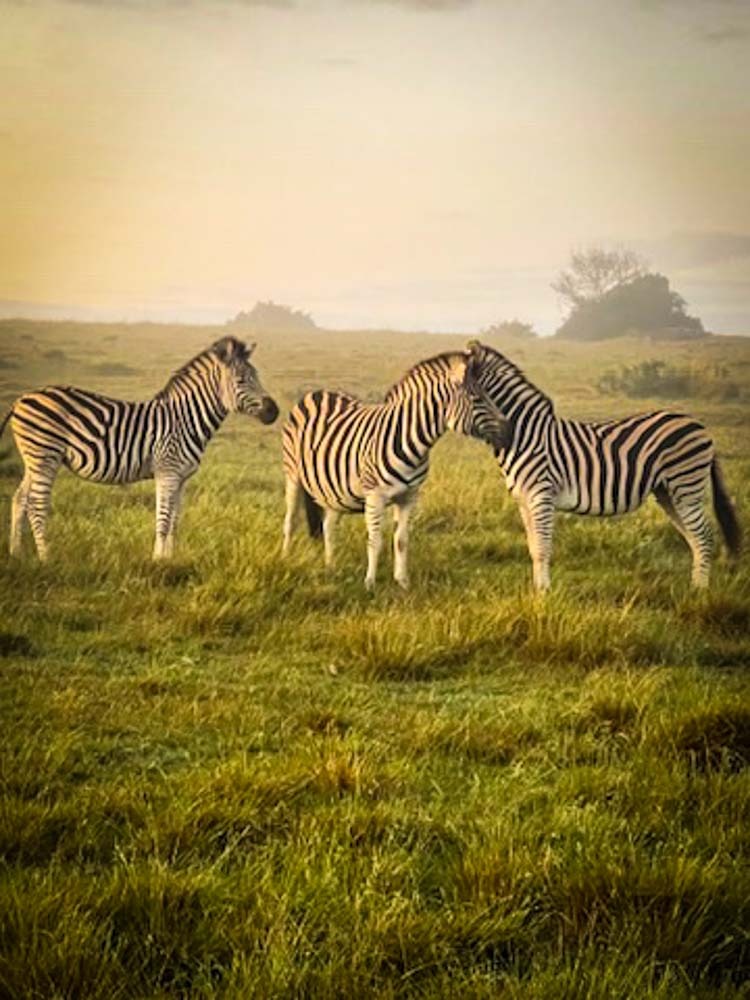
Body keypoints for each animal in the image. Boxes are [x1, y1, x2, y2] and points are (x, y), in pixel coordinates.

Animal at [1, 336, 278, 561]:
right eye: (241, 380)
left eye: (258, 377)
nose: (274, 411)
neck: (185, 419)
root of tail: (21, 399)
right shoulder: (167, 471)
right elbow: (164, 519)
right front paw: (157, 561)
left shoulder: (182, 478)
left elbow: (175, 521)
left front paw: (170, 560)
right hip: (45, 455)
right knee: (36, 504)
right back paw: (46, 557)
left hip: (34, 460)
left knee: (20, 499)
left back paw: (16, 553)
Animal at [281, 349, 509, 589]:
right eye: (477, 399)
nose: (509, 430)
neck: (411, 442)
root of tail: (316, 393)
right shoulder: (375, 495)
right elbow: (375, 540)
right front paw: (370, 583)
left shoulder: (409, 496)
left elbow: (401, 540)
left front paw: (402, 582)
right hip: (293, 474)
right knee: (291, 521)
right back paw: (286, 558)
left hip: (334, 490)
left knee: (328, 527)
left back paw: (331, 566)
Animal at [466, 340, 742, 590]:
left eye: (470, 393)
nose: (505, 435)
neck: (527, 434)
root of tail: (700, 426)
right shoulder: (523, 500)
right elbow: (533, 548)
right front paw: (536, 592)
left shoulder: (542, 494)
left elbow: (543, 548)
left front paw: (544, 596)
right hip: (668, 492)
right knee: (694, 538)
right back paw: (693, 587)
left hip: (686, 484)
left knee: (704, 537)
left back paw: (699, 592)